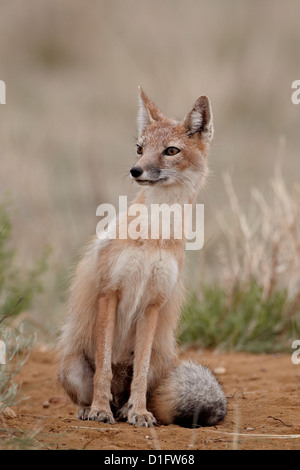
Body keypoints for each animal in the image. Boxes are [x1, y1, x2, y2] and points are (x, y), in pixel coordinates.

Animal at [58, 87, 227, 426]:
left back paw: (126, 410)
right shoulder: (109, 293)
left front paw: (139, 412)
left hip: (159, 362)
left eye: (170, 151)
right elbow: (103, 371)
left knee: (136, 384)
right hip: (71, 367)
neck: (153, 235)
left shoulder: (153, 303)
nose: (135, 171)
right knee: (92, 390)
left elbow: (140, 373)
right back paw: (93, 409)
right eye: (139, 149)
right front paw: (99, 409)